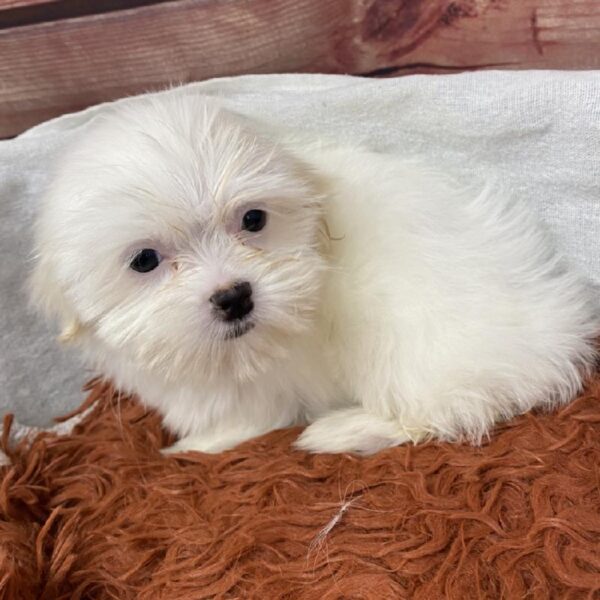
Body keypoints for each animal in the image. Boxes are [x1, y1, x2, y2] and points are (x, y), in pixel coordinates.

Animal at [29, 91, 600, 452]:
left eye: (253, 220)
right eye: (144, 260)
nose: (234, 295)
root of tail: (558, 334)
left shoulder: (266, 386)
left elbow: (248, 418)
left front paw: (196, 445)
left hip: (411, 341)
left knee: (439, 410)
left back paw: (345, 432)